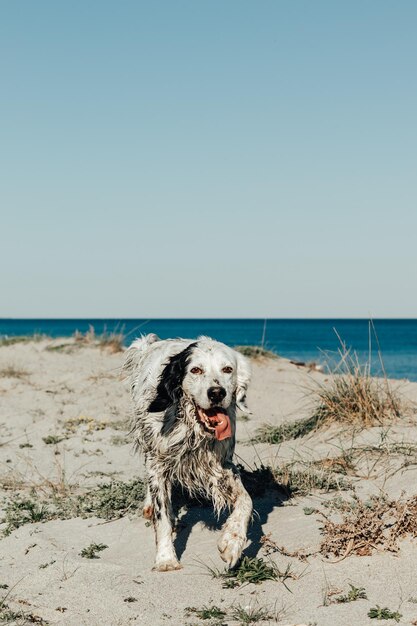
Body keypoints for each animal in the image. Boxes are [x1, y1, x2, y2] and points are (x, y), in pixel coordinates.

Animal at [122, 332, 252, 572]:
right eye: (196, 370)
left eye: (227, 369)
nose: (217, 393)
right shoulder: (158, 461)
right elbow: (162, 516)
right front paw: (166, 559)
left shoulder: (223, 464)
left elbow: (246, 501)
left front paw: (232, 541)